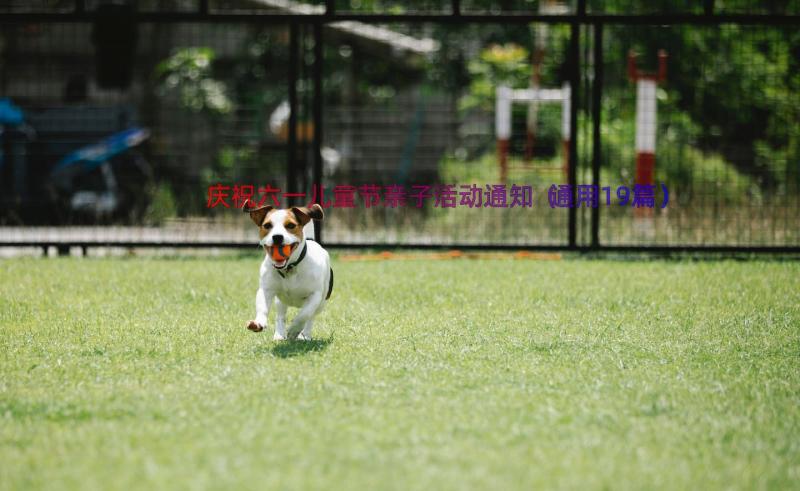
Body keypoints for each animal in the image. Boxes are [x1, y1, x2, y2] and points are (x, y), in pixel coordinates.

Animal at [242, 202, 332, 340]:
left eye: (290, 225)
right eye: (267, 225)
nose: (277, 237)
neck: (289, 269)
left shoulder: (315, 295)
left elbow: (304, 314)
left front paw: (294, 330)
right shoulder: (266, 290)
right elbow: (262, 308)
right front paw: (259, 323)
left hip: (322, 303)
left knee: (311, 317)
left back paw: (305, 335)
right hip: (281, 301)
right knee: (281, 315)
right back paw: (279, 334)